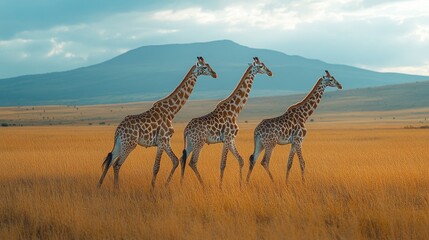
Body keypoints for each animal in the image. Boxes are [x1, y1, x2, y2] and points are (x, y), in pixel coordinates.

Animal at [98, 56, 216, 189]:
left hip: (120, 143)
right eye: (205, 67)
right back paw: (116, 189)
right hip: (129, 144)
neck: (171, 111)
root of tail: (118, 129)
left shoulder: (166, 141)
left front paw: (165, 185)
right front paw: (152, 189)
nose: (214, 74)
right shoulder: (161, 141)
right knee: (117, 164)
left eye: (209, 65)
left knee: (110, 160)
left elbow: (175, 161)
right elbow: (156, 167)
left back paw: (100, 186)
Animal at [179, 57, 272, 188]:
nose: (270, 72)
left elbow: (241, 160)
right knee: (192, 162)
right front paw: (221, 187)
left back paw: (181, 183)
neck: (235, 111)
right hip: (199, 142)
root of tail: (186, 130)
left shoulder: (231, 139)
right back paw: (203, 185)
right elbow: (223, 164)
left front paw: (240, 184)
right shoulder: (227, 138)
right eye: (260, 66)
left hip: (191, 143)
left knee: (183, 158)